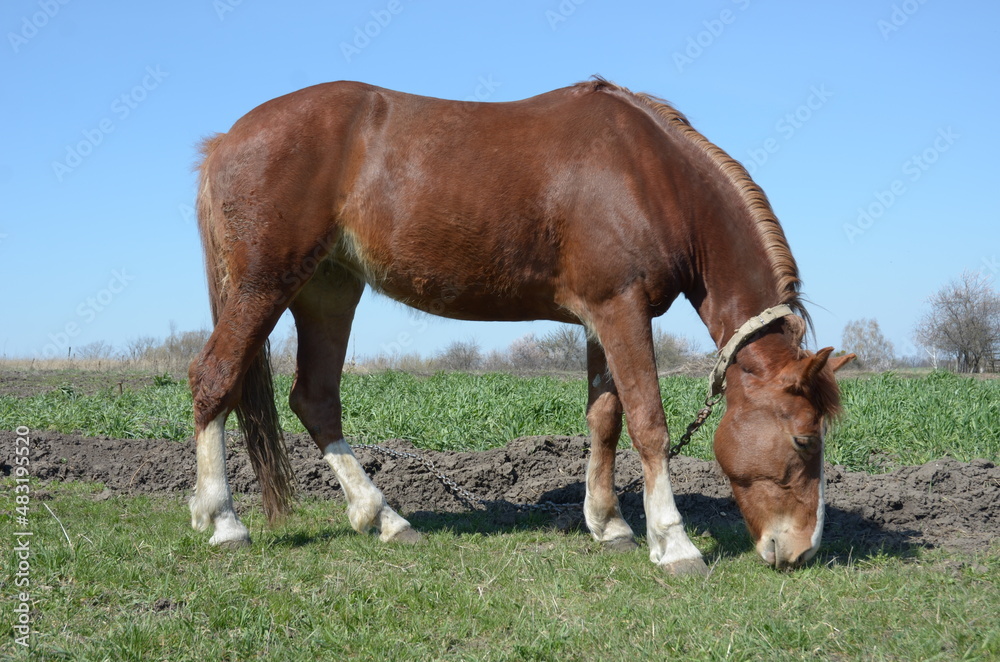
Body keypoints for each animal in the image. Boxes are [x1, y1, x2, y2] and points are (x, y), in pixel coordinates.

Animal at [187, 77, 854, 576]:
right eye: (804, 440)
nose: (802, 551)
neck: (651, 176)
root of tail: (226, 140)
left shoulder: (599, 318)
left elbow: (605, 418)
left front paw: (609, 523)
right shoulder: (622, 309)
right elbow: (649, 423)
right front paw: (674, 542)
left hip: (329, 290)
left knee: (316, 399)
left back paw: (385, 519)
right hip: (265, 286)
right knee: (214, 379)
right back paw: (222, 521)